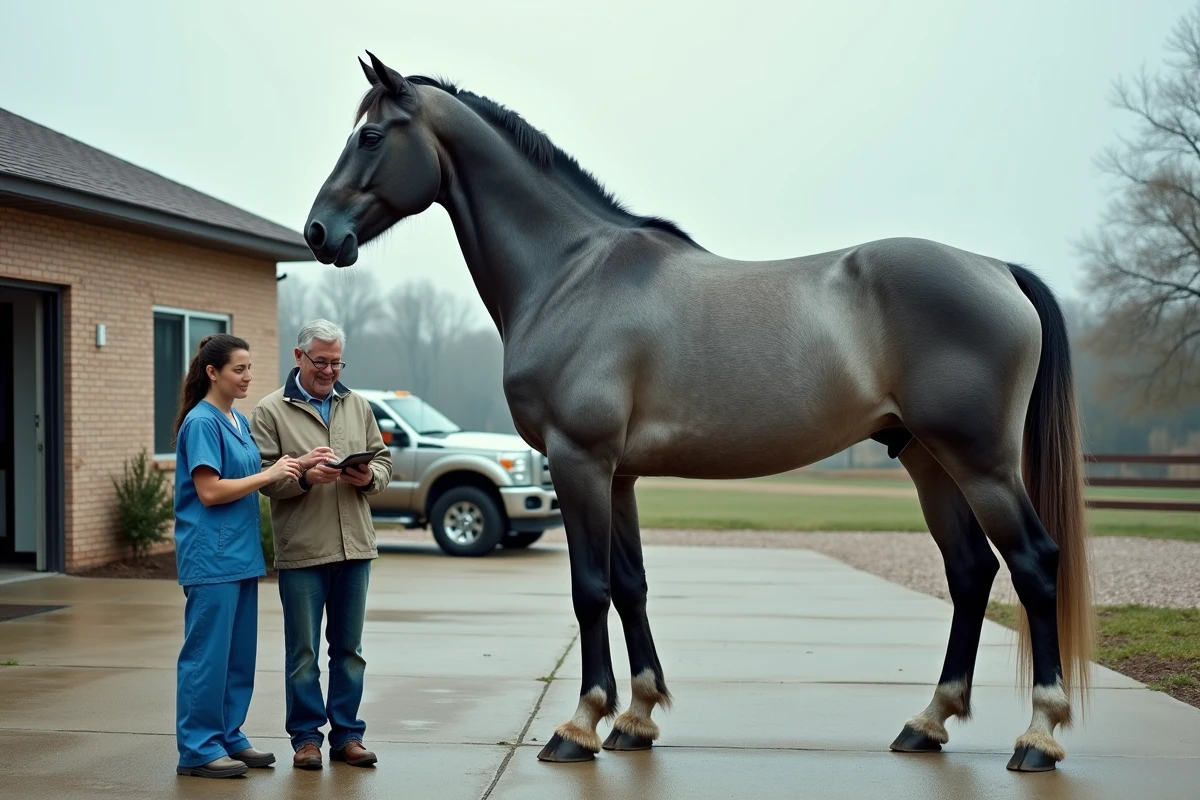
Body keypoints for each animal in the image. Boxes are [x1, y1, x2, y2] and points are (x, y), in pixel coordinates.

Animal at [303, 51, 1095, 773]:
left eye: (370, 136)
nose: (317, 233)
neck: (570, 273)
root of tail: (996, 269)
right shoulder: (617, 475)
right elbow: (630, 586)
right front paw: (637, 718)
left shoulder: (579, 460)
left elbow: (590, 589)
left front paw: (580, 725)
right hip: (928, 459)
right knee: (970, 571)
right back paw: (928, 722)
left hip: (981, 461)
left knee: (1032, 562)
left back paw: (1039, 735)